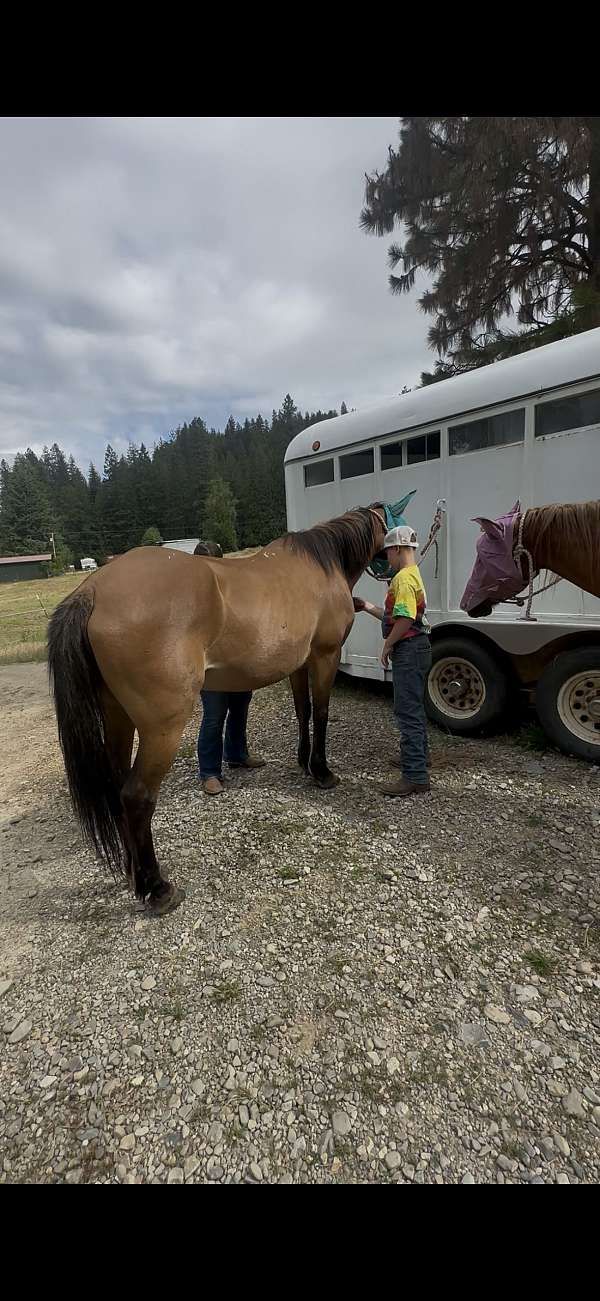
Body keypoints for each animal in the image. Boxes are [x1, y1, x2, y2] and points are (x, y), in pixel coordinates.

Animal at [47, 504, 389, 916]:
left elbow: (303, 711)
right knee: (136, 797)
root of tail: (93, 591)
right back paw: (157, 889)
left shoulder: (300, 664)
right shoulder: (325, 657)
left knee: (116, 787)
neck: (321, 565)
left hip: (117, 718)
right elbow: (321, 713)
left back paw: (133, 876)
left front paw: (304, 762)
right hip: (162, 730)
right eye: (389, 524)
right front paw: (322, 771)